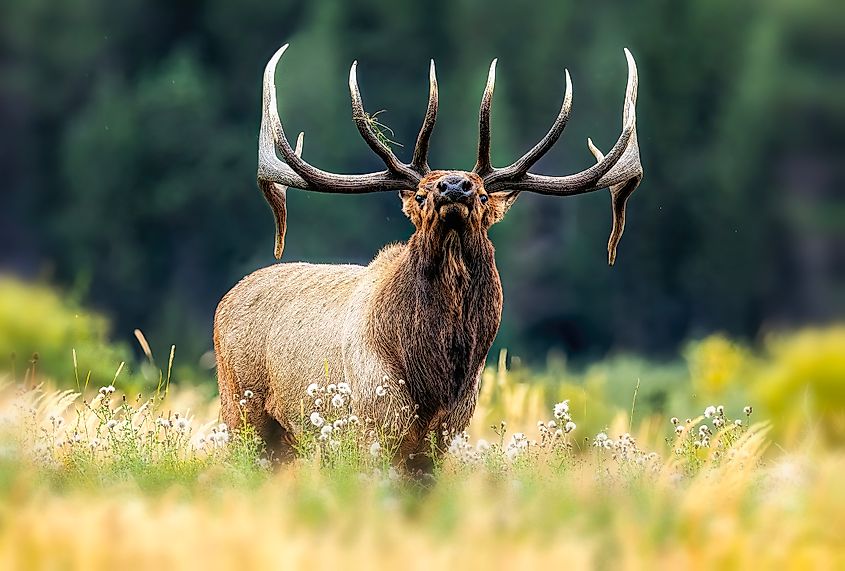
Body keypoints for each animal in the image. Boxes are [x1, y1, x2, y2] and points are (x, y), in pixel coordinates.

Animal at [214, 43, 642, 471]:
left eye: (483, 195)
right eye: (420, 194)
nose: (454, 186)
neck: (436, 379)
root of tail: (226, 299)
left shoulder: (446, 433)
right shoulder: (373, 423)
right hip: (241, 409)